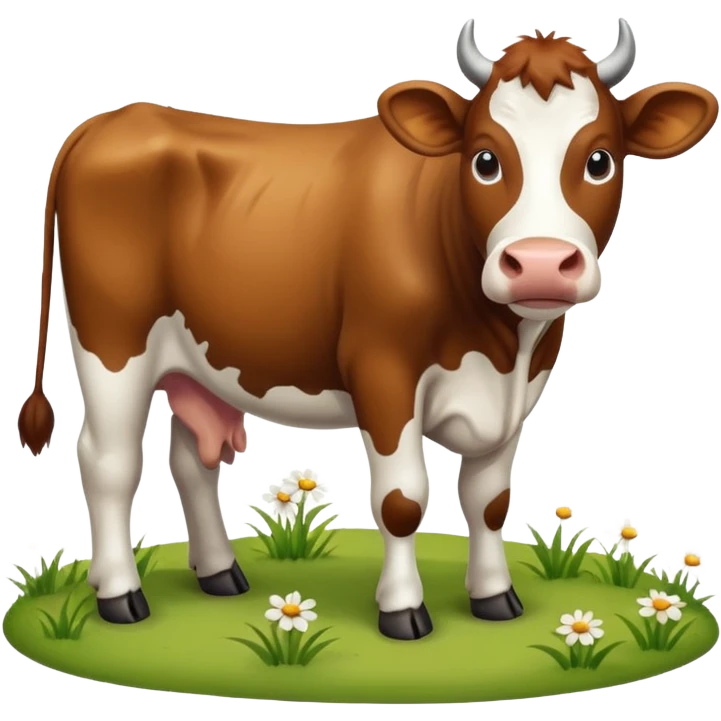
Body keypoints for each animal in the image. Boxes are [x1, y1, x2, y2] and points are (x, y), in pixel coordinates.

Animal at [18, 18, 719, 641]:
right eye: (485, 159)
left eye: (600, 158)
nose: (541, 263)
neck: (500, 345)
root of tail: (112, 120)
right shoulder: (383, 370)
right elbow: (402, 500)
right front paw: (403, 612)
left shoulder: (520, 388)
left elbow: (489, 501)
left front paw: (495, 598)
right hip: (112, 345)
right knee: (108, 463)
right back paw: (120, 595)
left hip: (201, 361)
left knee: (191, 459)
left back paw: (219, 573)